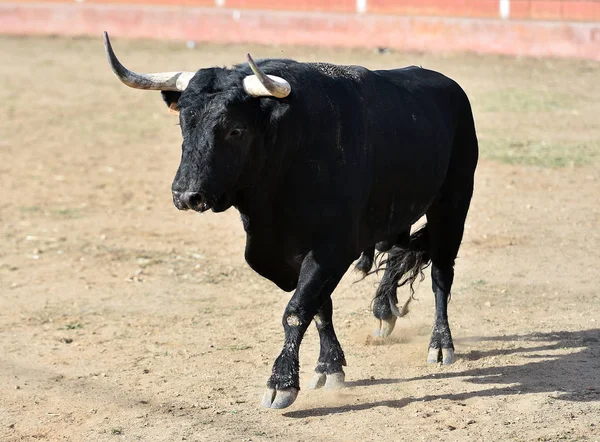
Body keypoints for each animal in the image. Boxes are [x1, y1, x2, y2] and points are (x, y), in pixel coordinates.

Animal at [104, 32, 478, 410]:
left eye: (235, 130)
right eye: (183, 123)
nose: (185, 195)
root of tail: (448, 87)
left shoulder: (332, 249)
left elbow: (297, 309)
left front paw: (281, 383)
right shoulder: (287, 252)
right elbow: (320, 306)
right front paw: (330, 366)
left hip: (453, 203)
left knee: (441, 273)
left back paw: (440, 345)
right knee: (399, 251)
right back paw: (383, 310)